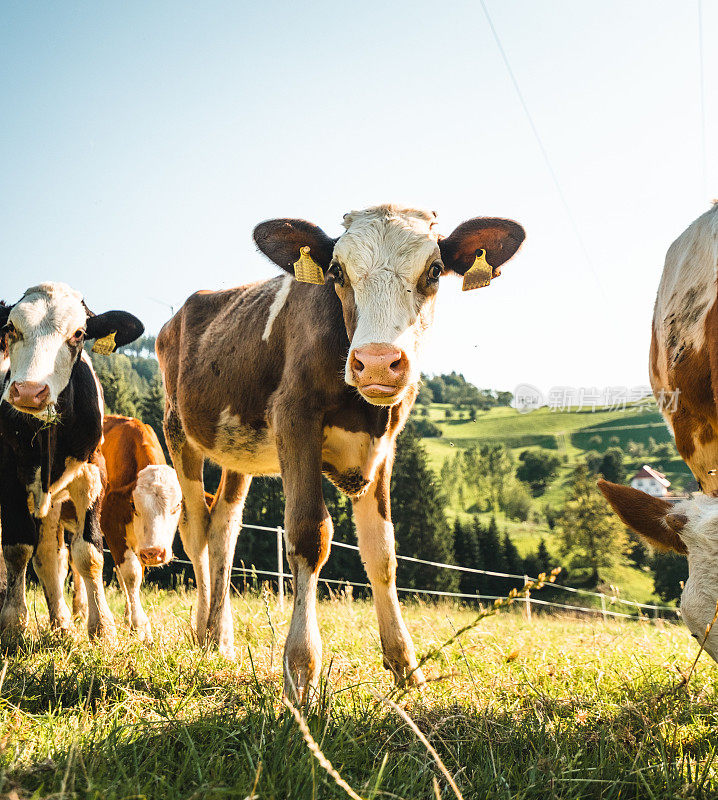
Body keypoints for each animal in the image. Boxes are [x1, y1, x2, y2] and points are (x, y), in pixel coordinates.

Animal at [0, 282, 145, 636]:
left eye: (78, 333)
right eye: (11, 329)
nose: (28, 391)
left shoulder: (92, 472)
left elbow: (87, 552)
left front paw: (103, 629)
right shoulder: (8, 472)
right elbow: (16, 549)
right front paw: (12, 627)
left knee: (50, 555)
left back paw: (62, 623)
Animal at [158, 206, 524, 700]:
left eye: (433, 271)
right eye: (336, 272)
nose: (377, 361)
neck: (362, 410)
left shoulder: (387, 438)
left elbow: (382, 551)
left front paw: (406, 666)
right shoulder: (294, 417)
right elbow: (309, 534)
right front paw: (301, 672)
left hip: (239, 451)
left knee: (224, 530)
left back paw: (221, 638)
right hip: (178, 430)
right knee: (195, 530)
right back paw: (201, 633)